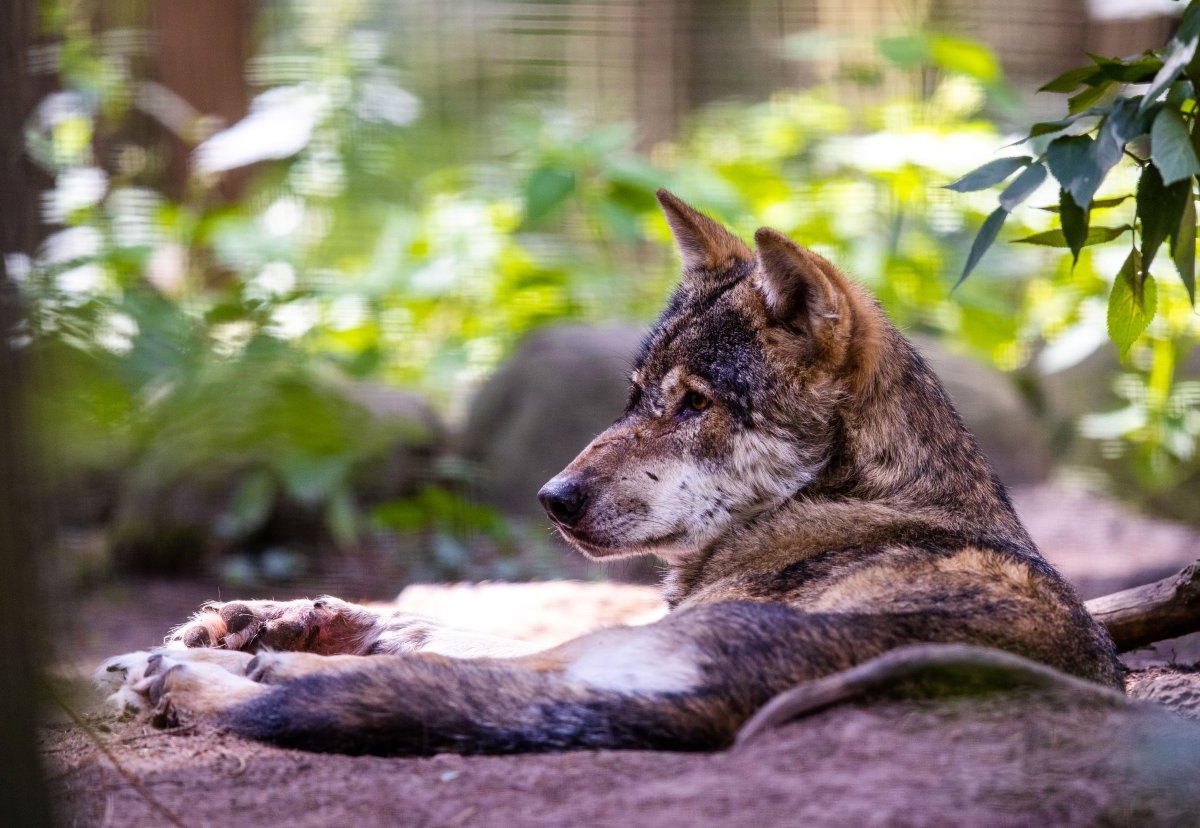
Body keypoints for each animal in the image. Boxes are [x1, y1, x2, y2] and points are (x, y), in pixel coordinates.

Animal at [96, 190, 1123, 753]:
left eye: (695, 404)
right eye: (633, 396)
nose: (551, 500)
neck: (856, 498)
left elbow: (458, 647)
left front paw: (243, 645)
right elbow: (450, 627)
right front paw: (296, 617)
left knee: (359, 692)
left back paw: (187, 670)